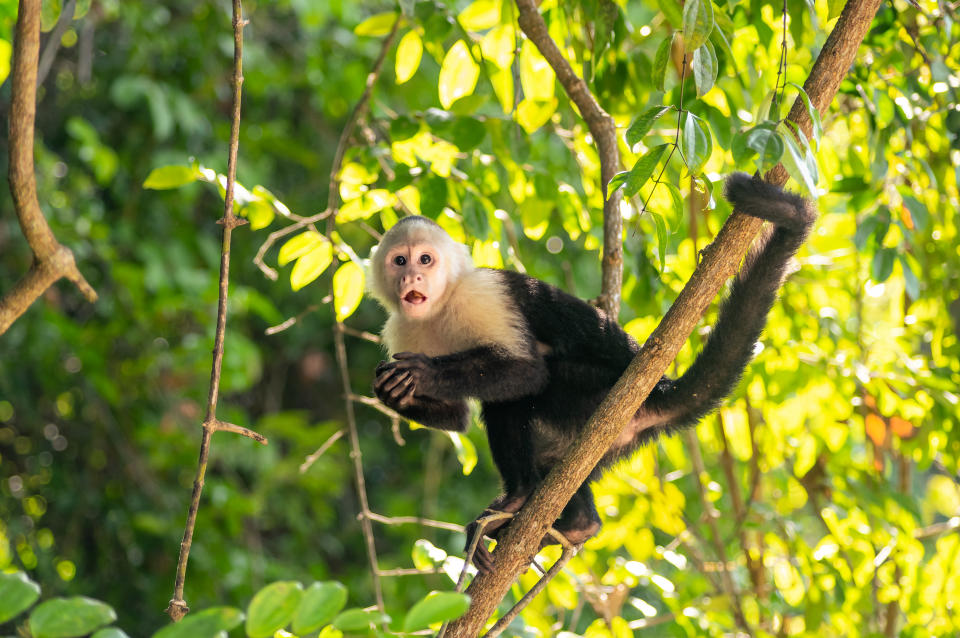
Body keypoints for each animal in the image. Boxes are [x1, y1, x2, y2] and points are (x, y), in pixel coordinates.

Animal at [372, 172, 812, 572]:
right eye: (400, 260)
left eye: (426, 259)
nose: (412, 277)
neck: (441, 307)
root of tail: (654, 391)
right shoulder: (400, 328)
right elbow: (459, 418)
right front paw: (393, 392)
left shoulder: (480, 296)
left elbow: (526, 372)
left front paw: (423, 373)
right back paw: (574, 522)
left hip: (595, 396)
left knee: (522, 393)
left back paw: (521, 499)